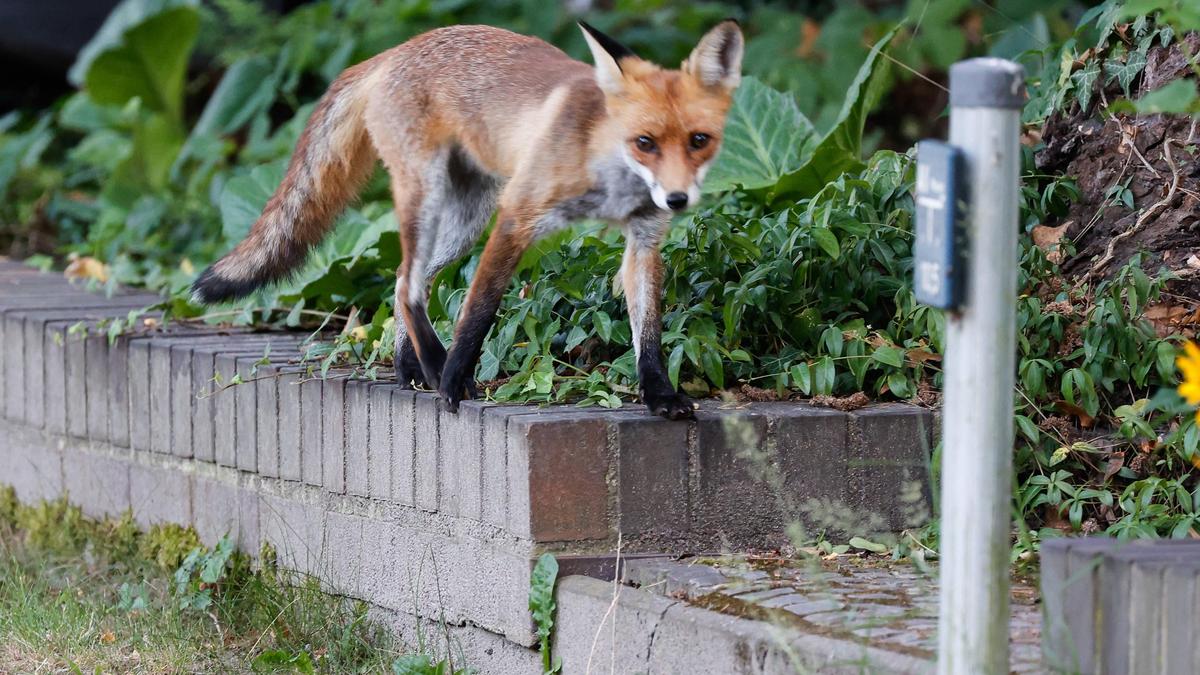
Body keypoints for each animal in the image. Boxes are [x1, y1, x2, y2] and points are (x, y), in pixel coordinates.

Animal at [189, 21, 739, 417]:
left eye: (699, 140)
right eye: (644, 142)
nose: (677, 199)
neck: (606, 167)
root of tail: (394, 51)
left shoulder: (644, 240)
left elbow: (649, 331)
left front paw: (660, 396)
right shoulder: (518, 216)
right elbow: (479, 310)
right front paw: (454, 382)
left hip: (465, 220)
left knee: (401, 280)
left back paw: (407, 367)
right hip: (429, 195)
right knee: (408, 282)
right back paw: (434, 366)